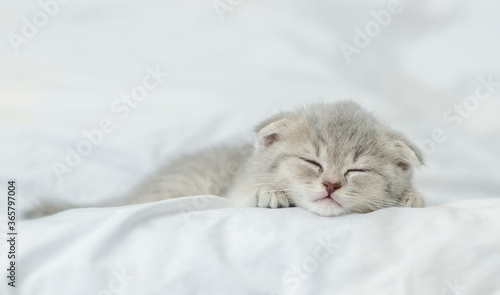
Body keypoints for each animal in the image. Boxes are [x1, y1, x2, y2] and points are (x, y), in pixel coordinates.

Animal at [28, 100, 426, 219]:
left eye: (357, 170)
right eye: (312, 162)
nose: (330, 185)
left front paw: (412, 197)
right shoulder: (233, 185)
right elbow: (243, 194)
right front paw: (266, 192)